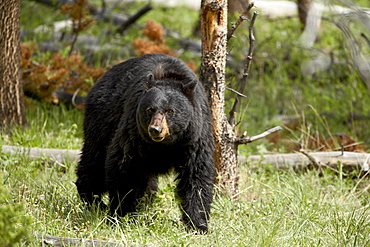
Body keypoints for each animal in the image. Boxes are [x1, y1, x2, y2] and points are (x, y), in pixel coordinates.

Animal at [76, 53, 214, 232]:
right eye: (150, 109)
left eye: (170, 111)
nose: (155, 129)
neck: (167, 144)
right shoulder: (134, 131)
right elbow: (123, 165)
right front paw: (122, 213)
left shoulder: (194, 137)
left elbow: (196, 174)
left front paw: (197, 225)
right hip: (102, 119)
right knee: (95, 161)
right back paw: (93, 200)